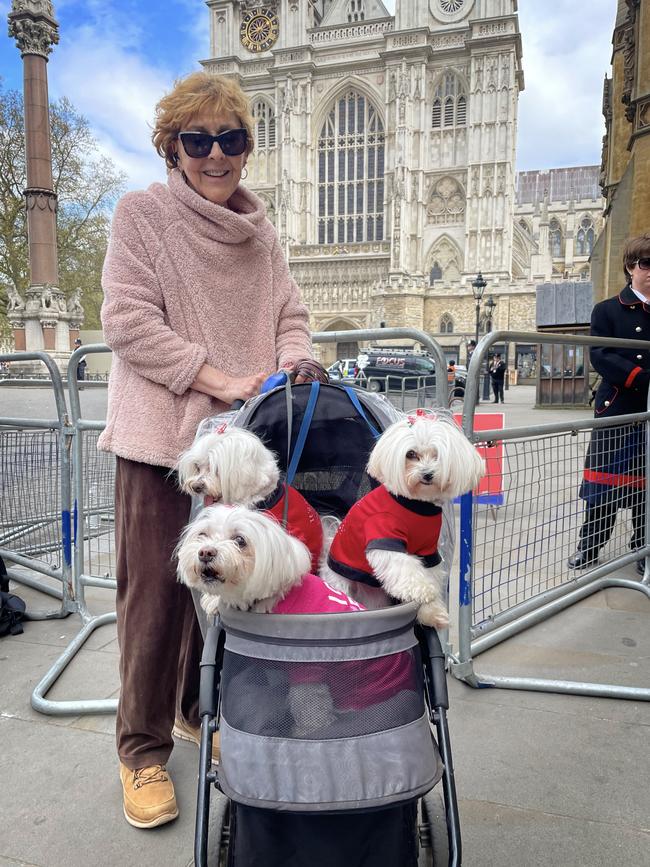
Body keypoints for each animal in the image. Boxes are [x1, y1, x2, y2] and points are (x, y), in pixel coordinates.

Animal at [322, 410, 484, 628]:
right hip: (341, 582)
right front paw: (422, 590)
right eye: (411, 454)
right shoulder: (384, 536)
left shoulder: (428, 550)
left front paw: (432, 613)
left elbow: (430, 575)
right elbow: (404, 567)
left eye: (437, 455)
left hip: (375, 596)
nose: (427, 474)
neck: (415, 504)